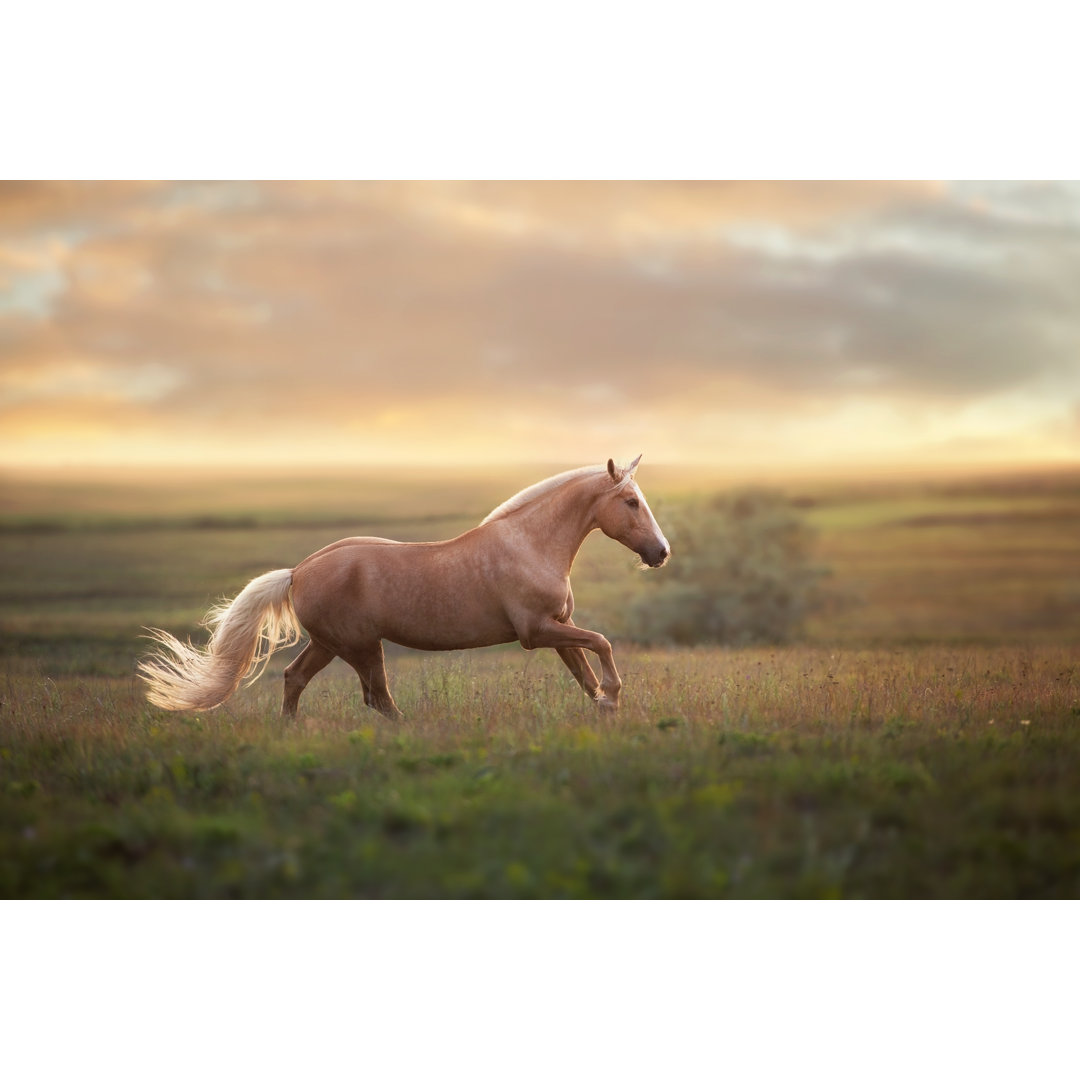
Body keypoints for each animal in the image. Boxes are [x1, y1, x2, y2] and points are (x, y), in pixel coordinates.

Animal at [138, 455, 670, 719]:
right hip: (360, 646)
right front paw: (614, 698)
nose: (660, 552)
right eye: (630, 502)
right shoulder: (536, 631)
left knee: (296, 679)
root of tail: (299, 571)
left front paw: (605, 709)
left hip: (329, 644)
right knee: (378, 698)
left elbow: (584, 672)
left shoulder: (559, 626)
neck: (529, 544)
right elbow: (602, 645)